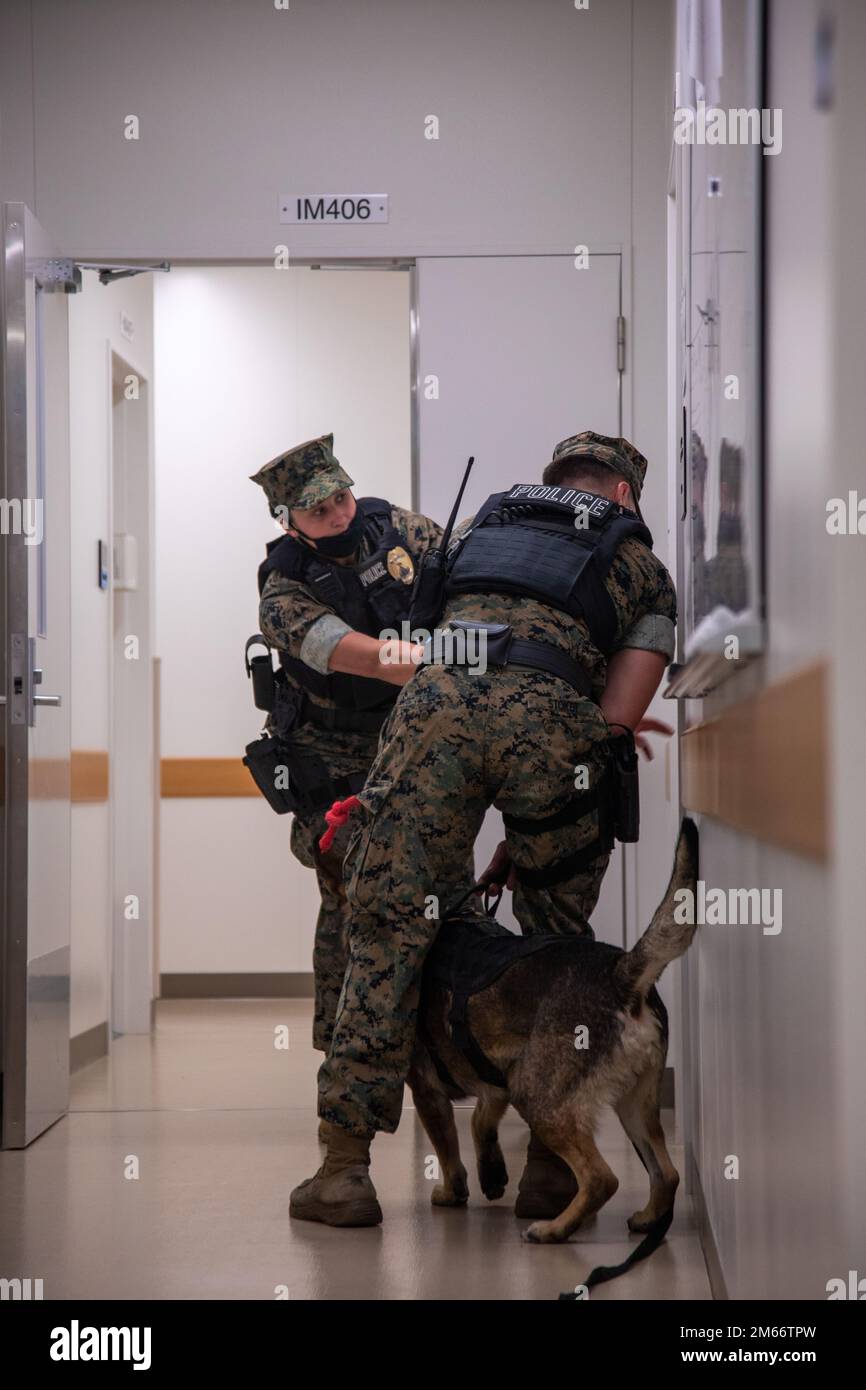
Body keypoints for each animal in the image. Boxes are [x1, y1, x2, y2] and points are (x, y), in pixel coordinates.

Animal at [405, 817, 697, 1245]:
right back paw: (647, 1219)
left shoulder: (429, 1091)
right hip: (631, 1102)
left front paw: (453, 1190)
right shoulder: (496, 1084)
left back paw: (555, 1228)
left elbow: (448, 1149)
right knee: (667, 1173)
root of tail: (621, 974)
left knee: (602, 1178)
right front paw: (492, 1174)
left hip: (537, 1095)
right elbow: (479, 1123)